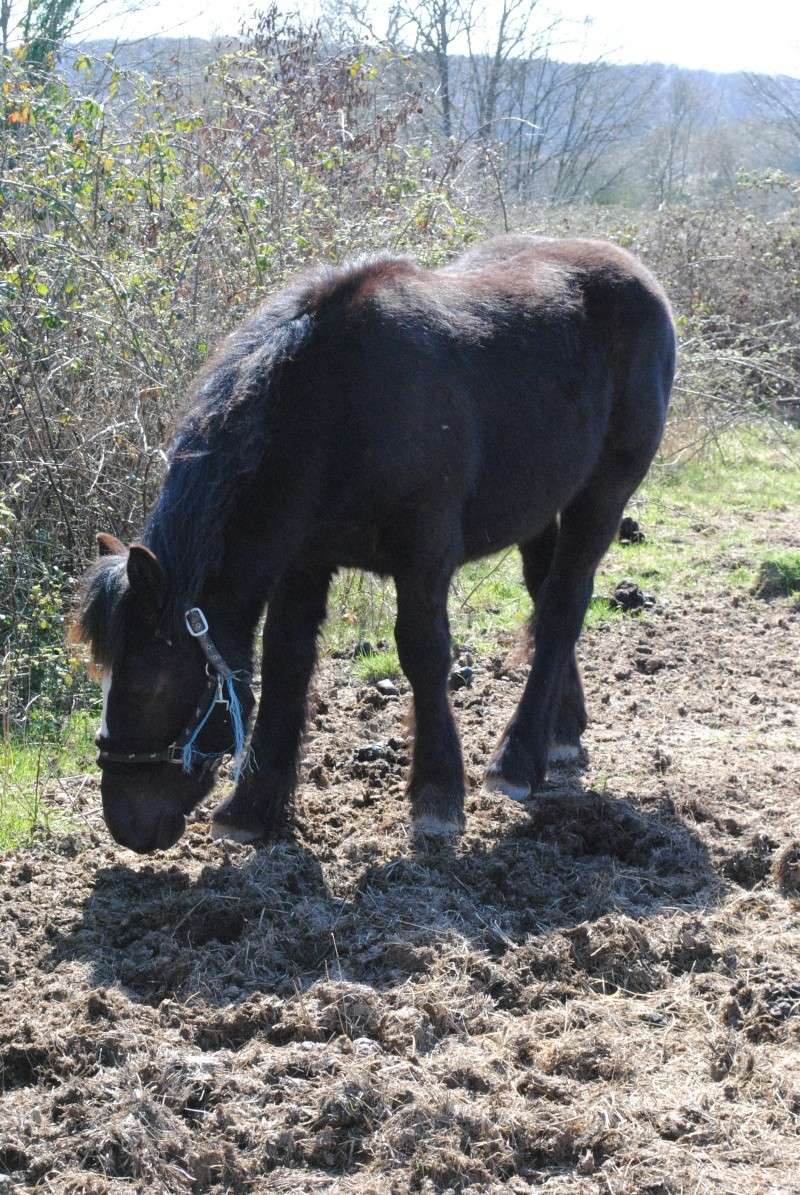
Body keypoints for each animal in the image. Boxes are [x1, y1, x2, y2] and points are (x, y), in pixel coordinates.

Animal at [70, 235, 674, 850]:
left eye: (152, 684)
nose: (127, 825)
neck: (340, 408)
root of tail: (635, 272)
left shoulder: (424, 555)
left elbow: (423, 653)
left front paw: (437, 794)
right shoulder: (303, 563)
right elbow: (286, 660)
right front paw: (252, 805)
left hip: (602, 495)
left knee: (562, 606)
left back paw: (517, 759)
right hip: (539, 505)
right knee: (545, 594)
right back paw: (562, 730)